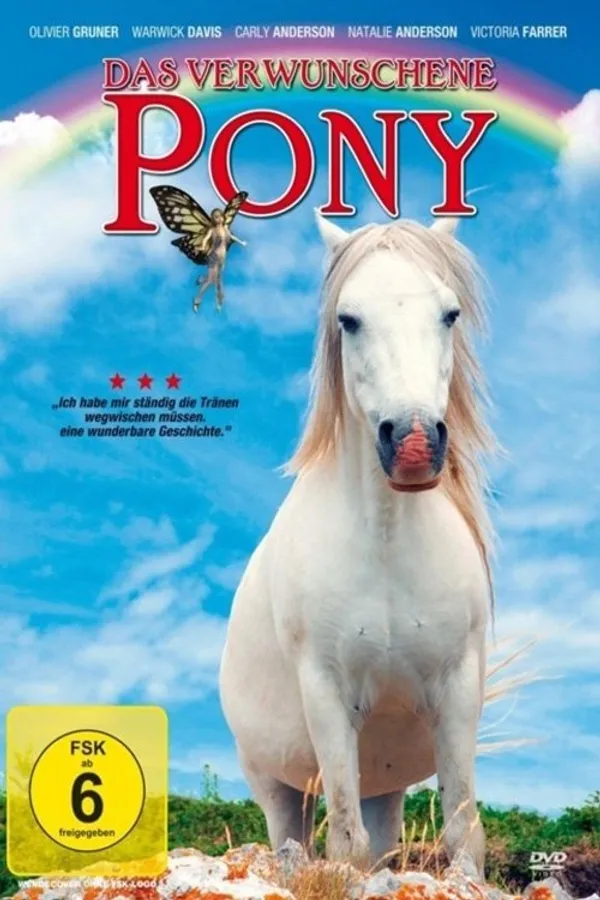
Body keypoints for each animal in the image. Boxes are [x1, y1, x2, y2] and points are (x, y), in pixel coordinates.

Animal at [219, 212, 498, 879]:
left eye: (450, 313)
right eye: (348, 318)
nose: (415, 443)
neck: (387, 544)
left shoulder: (457, 692)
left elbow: (462, 835)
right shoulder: (326, 694)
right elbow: (344, 843)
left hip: (385, 783)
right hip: (277, 786)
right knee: (293, 844)